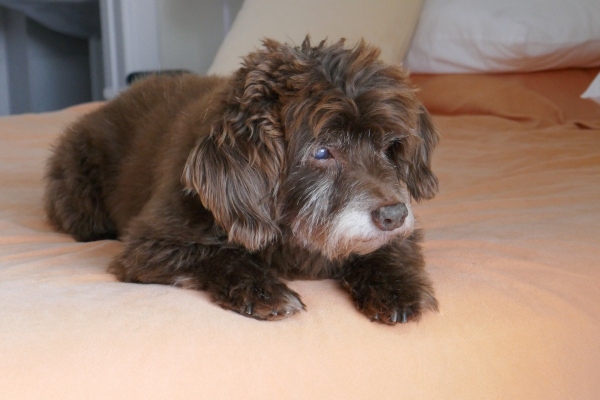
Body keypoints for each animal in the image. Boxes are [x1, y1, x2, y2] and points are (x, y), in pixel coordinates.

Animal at [44, 37, 440, 324]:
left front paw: (397, 287)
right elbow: (216, 254)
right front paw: (263, 291)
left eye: (390, 146)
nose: (394, 215)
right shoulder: (149, 244)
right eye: (322, 152)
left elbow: (389, 249)